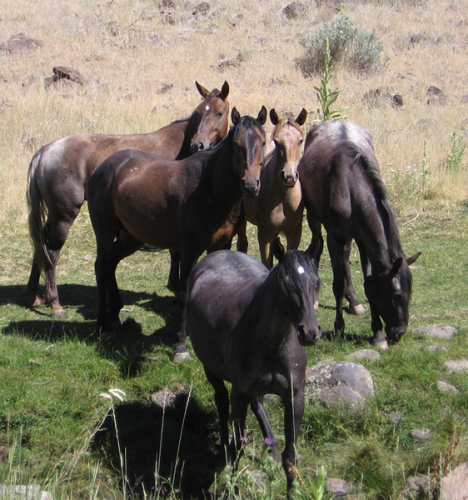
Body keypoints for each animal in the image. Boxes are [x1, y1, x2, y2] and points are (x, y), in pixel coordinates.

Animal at [26, 80, 230, 318]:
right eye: (198, 113)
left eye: (218, 113)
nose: (198, 144)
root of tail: (46, 150)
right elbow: (177, 251)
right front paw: (177, 290)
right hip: (64, 216)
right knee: (51, 253)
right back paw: (55, 304)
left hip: (55, 215)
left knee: (40, 245)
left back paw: (34, 296)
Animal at [87, 107, 266, 362]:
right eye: (236, 143)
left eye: (263, 142)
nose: (251, 185)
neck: (210, 188)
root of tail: (103, 167)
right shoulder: (190, 250)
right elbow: (184, 291)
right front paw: (180, 344)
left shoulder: (221, 245)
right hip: (105, 231)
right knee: (101, 266)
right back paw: (104, 325)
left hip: (131, 237)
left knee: (110, 264)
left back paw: (115, 315)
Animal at [183, 240, 322, 498]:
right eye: (285, 282)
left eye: (316, 281)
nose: (309, 332)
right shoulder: (238, 395)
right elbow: (237, 447)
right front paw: (231, 486)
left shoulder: (294, 397)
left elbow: (290, 456)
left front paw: (292, 489)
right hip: (212, 371)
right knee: (221, 400)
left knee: (257, 403)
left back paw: (271, 445)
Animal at [238, 107, 308, 268]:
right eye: (276, 141)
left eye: (300, 140)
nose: (288, 176)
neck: (283, 198)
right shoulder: (265, 234)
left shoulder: (294, 232)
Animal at [300, 120, 420, 348]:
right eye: (396, 296)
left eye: (410, 294)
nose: (398, 333)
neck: (351, 187)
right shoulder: (335, 236)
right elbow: (338, 283)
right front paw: (339, 327)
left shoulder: (363, 239)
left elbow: (367, 280)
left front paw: (377, 334)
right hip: (314, 218)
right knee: (317, 246)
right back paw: (316, 300)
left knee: (346, 258)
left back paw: (353, 302)